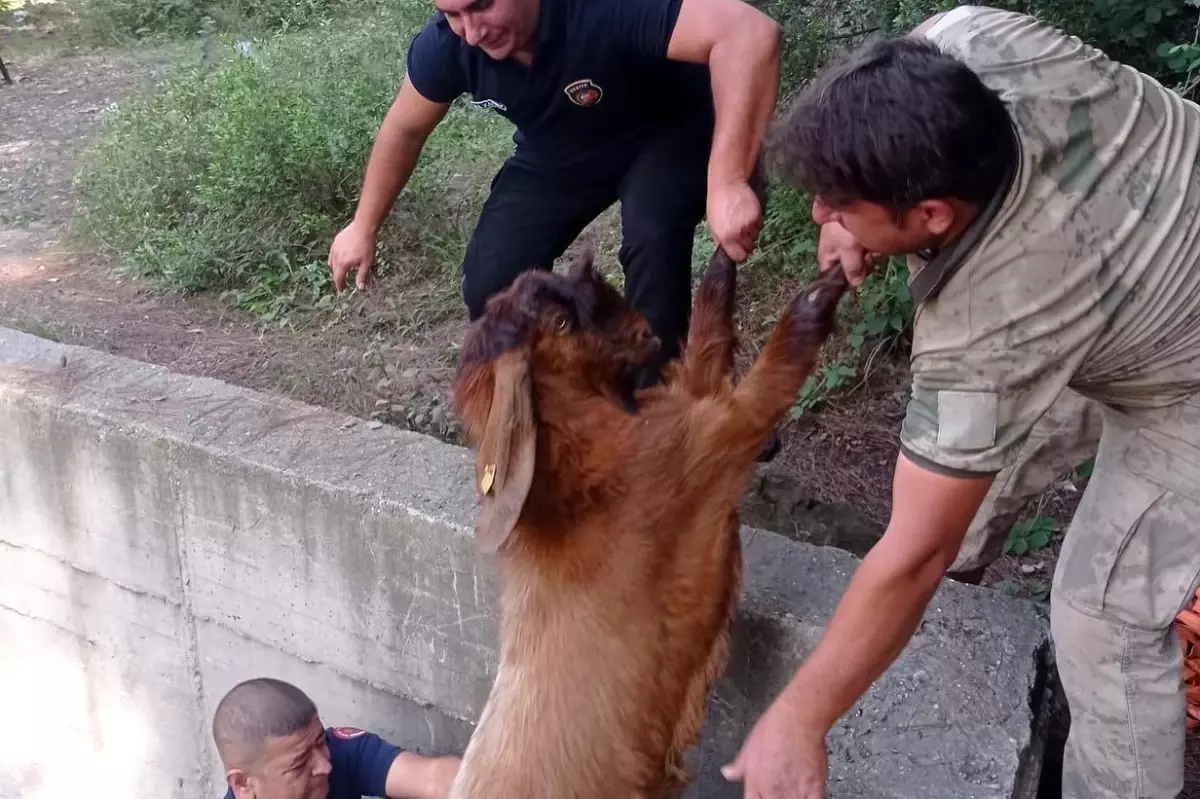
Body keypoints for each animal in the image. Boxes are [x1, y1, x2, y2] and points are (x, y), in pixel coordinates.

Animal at [451, 233, 854, 791]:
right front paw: (823, 290)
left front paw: (724, 256)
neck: (585, 476)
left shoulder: (681, 410)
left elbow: (704, 349)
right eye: (561, 322)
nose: (644, 330)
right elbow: (763, 384)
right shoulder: (705, 444)